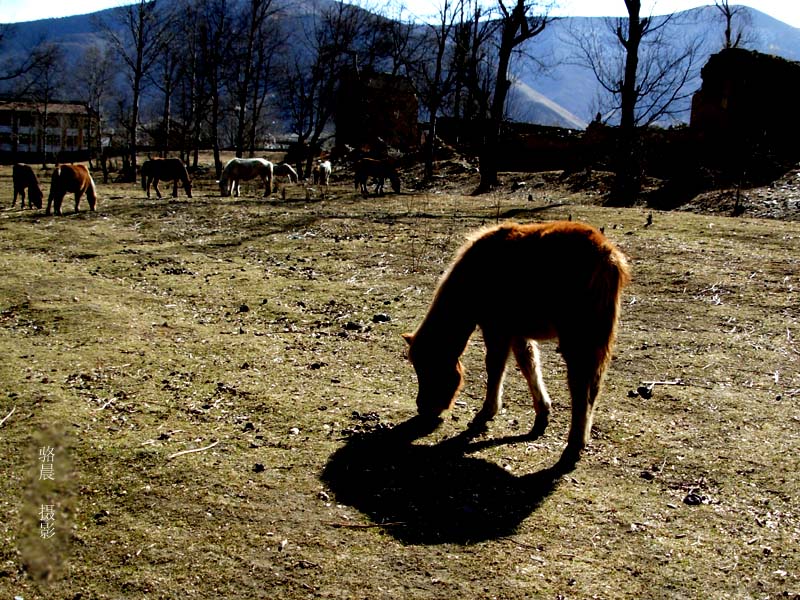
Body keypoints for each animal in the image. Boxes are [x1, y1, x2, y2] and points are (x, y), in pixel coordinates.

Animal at [406, 220, 632, 468]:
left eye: (430, 369)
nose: (423, 408)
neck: (474, 273)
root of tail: (607, 254)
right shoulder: (518, 334)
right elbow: (529, 366)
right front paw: (542, 413)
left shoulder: (497, 330)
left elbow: (495, 368)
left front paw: (487, 411)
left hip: (578, 343)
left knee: (582, 390)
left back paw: (574, 445)